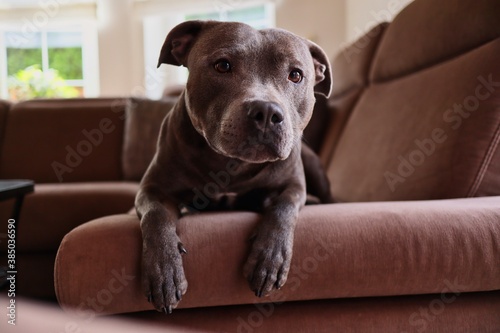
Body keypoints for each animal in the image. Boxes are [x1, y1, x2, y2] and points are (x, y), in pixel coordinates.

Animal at [135, 20, 334, 312]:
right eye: (223, 66)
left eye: (296, 75)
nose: (266, 111)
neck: (232, 165)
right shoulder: (153, 189)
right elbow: (156, 216)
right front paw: (164, 271)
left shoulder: (293, 186)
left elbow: (283, 207)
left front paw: (269, 258)